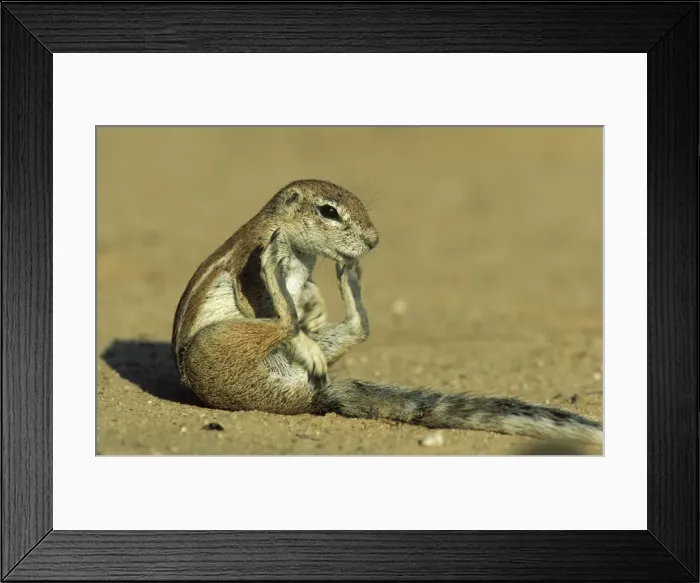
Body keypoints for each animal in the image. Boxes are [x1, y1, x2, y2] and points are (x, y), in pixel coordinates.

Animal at [172, 179, 603, 446]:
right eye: (328, 211)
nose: (373, 241)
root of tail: (308, 398)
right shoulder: (251, 261)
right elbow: (262, 300)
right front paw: (296, 305)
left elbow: (307, 297)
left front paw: (316, 309)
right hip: (217, 344)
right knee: (282, 322)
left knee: (356, 328)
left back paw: (348, 280)